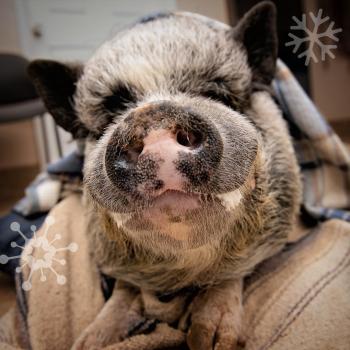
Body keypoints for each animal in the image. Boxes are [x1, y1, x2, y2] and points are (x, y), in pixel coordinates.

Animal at [28, 1, 300, 348]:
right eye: (111, 114)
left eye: (217, 95)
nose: (152, 115)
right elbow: (124, 288)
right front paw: (90, 342)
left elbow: (232, 275)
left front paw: (209, 340)